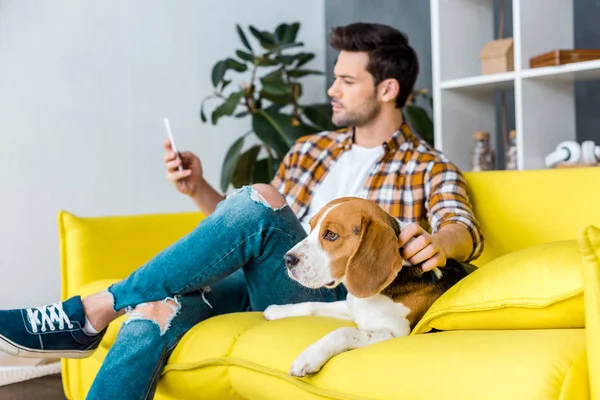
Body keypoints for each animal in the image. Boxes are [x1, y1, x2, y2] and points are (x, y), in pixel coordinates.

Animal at [264, 198, 468, 376]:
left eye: (331, 234)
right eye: (311, 226)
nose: (287, 259)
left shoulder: (393, 333)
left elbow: (344, 331)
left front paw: (309, 357)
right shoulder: (351, 307)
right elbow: (311, 305)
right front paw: (278, 310)